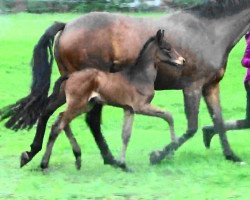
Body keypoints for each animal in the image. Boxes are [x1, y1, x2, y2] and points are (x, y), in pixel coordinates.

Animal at [40, 30, 186, 170]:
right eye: (167, 48)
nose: (183, 60)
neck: (140, 77)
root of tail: (70, 76)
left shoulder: (129, 109)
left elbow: (126, 135)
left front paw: (123, 164)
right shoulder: (141, 107)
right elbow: (169, 116)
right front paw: (172, 147)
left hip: (86, 105)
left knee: (61, 119)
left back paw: (77, 159)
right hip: (78, 104)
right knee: (58, 126)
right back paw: (44, 164)